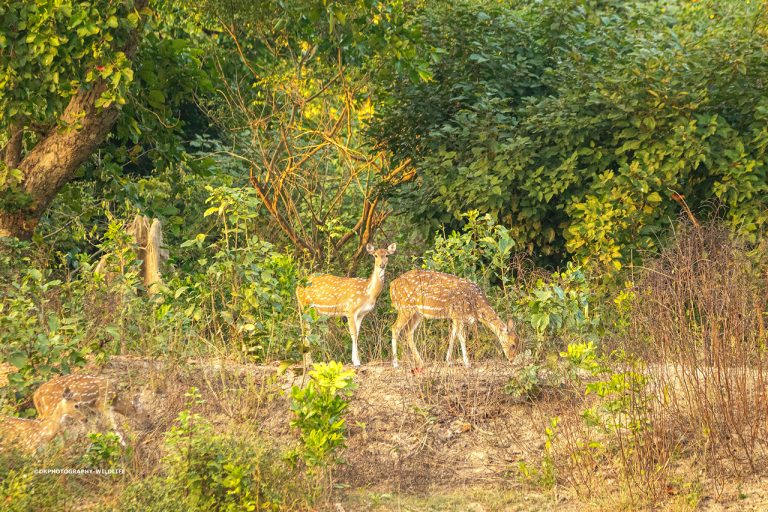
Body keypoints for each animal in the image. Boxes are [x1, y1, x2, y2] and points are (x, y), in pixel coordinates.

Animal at [389, 269, 518, 368]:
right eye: (512, 345)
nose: (512, 360)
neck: (475, 305)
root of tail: (392, 286)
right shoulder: (457, 313)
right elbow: (462, 337)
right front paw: (467, 363)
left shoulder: (455, 317)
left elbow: (453, 336)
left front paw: (448, 361)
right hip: (405, 307)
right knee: (395, 328)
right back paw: (396, 364)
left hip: (417, 313)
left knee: (408, 331)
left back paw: (421, 362)